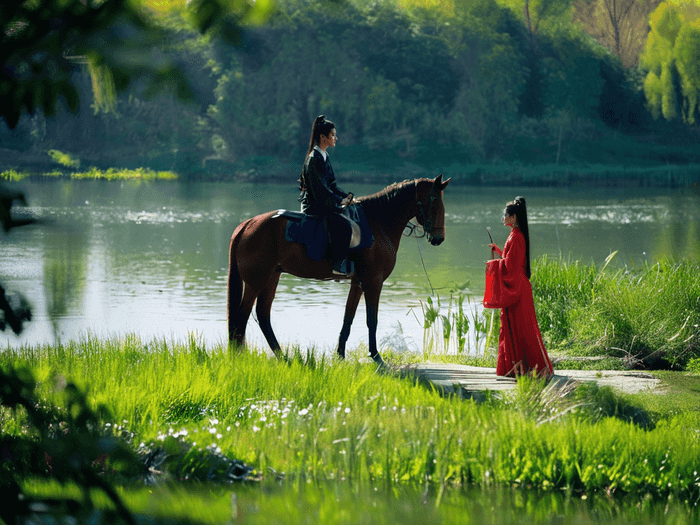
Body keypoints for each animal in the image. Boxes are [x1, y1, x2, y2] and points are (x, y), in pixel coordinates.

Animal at [227, 174, 452, 362]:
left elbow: (348, 318)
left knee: (262, 315)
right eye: (434, 200)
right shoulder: (374, 281)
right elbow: (372, 319)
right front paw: (375, 356)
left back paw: (283, 357)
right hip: (256, 281)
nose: (439, 238)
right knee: (242, 317)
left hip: (271, 278)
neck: (378, 223)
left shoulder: (358, 283)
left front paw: (340, 355)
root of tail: (247, 224)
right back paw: (242, 357)